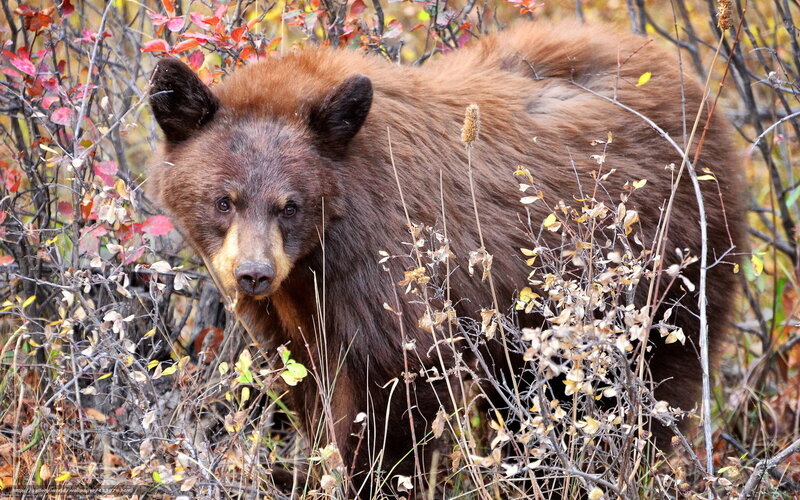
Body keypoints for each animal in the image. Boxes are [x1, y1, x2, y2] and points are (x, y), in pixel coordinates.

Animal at [148, 20, 744, 497]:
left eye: (290, 205)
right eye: (223, 200)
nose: (253, 274)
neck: (322, 252)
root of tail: (695, 90)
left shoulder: (392, 263)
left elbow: (398, 387)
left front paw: (374, 479)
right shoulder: (291, 313)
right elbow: (307, 384)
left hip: (668, 267)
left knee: (642, 387)